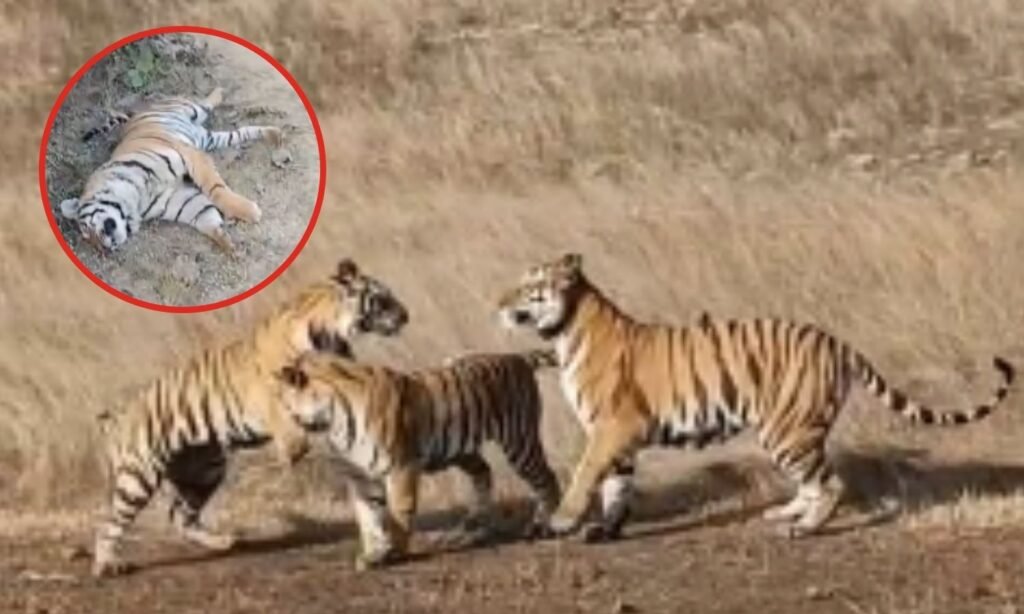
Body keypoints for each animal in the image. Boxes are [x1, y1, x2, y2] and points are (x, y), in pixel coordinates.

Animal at [58, 87, 281, 252]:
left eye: (86, 228)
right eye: (87, 239)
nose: (104, 249)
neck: (135, 203)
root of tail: (136, 114)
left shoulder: (190, 155)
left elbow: (216, 190)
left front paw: (249, 212)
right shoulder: (179, 200)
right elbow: (204, 215)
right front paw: (226, 241)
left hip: (191, 109)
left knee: (205, 102)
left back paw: (220, 91)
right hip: (211, 139)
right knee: (241, 132)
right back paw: (274, 134)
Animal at [92, 259, 409, 578]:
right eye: (383, 299)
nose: (406, 317)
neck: (330, 334)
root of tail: (123, 414)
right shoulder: (272, 391)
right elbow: (290, 429)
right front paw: (291, 450)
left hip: (205, 471)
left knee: (180, 516)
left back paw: (223, 542)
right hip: (138, 476)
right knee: (110, 523)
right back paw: (107, 564)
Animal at [274, 348, 562, 569]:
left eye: (285, 409)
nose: (288, 451)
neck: (334, 422)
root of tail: (518, 357)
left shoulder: (401, 467)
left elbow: (398, 514)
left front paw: (396, 552)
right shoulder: (360, 478)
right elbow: (368, 518)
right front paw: (373, 555)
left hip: (519, 441)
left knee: (547, 480)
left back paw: (541, 527)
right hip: (463, 451)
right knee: (484, 473)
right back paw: (464, 530)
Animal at [496, 253, 1015, 541]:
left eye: (529, 286)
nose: (499, 303)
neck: (565, 331)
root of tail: (837, 342)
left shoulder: (612, 427)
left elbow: (587, 475)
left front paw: (561, 522)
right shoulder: (619, 437)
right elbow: (616, 487)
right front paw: (604, 531)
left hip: (787, 428)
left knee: (830, 483)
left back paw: (801, 529)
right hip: (788, 430)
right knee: (812, 481)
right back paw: (784, 512)